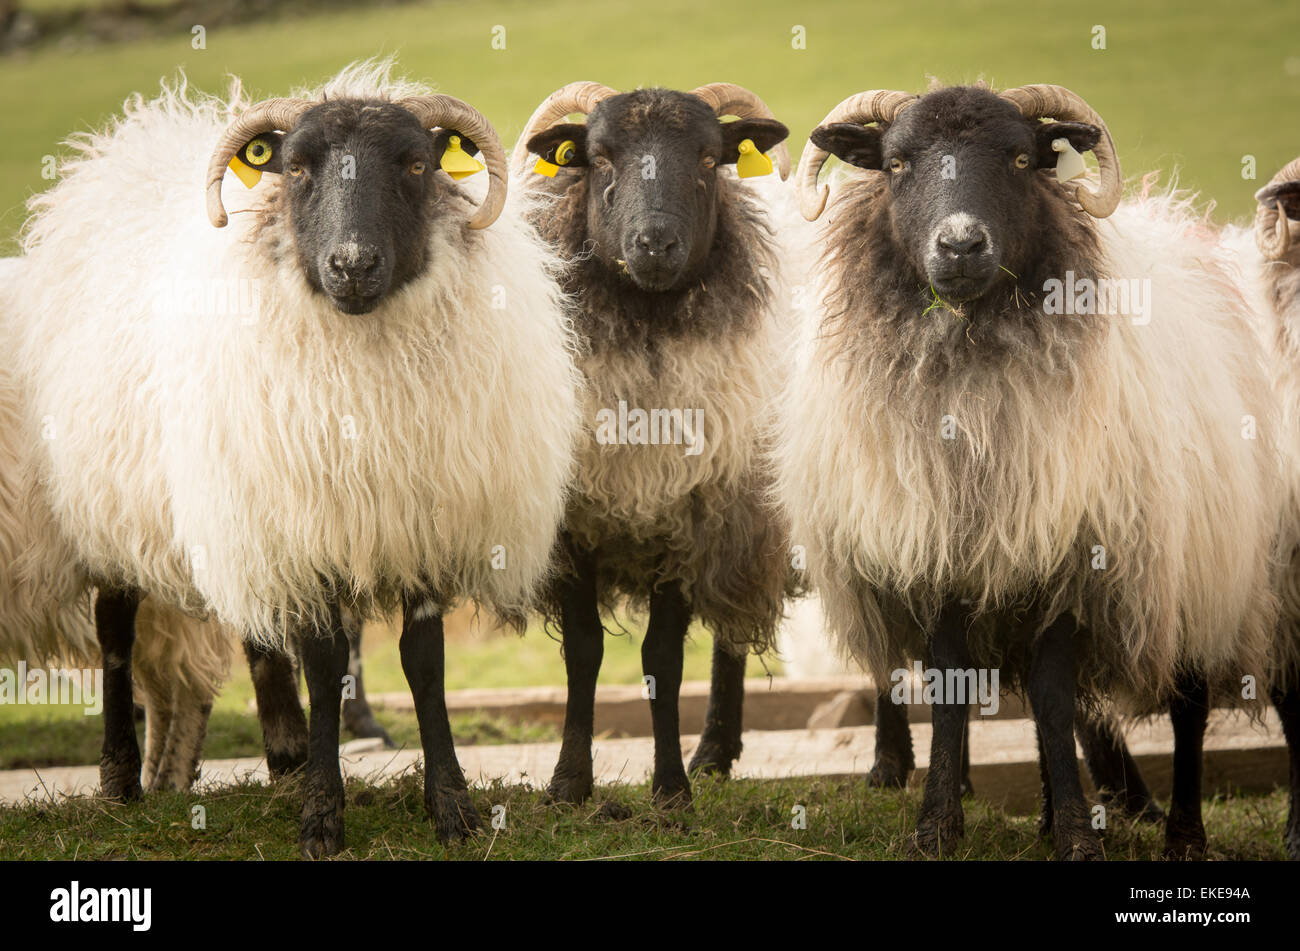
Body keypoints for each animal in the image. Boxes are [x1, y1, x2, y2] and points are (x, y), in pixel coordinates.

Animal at [13, 63, 580, 856]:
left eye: (415, 164)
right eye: (298, 167)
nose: (352, 266)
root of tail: (124, 149)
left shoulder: (414, 524)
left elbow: (423, 665)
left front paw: (451, 808)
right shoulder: (310, 530)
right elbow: (324, 662)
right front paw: (321, 817)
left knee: (256, 634)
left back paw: (283, 755)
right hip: (110, 502)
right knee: (116, 632)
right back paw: (121, 781)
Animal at [513, 82, 795, 807]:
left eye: (708, 158)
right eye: (600, 158)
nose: (655, 243)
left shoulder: (690, 516)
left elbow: (661, 660)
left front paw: (670, 791)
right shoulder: (574, 522)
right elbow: (584, 651)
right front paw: (568, 784)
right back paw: (716, 752)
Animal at [780, 83, 1281, 859]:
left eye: (1021, 158)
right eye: (895, 163)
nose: (960, 245)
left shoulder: (1074, 556)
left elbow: (1051, 694)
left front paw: (1076, 833)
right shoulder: (944, 556)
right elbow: (958, 690)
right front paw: (938, 825)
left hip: (1201, 573)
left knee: (1189, 706)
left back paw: (1183, 837)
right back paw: (1048, 811)